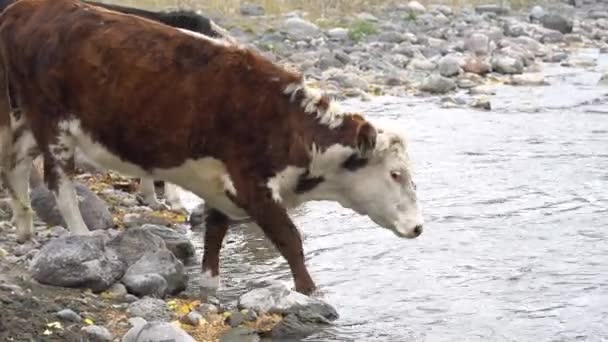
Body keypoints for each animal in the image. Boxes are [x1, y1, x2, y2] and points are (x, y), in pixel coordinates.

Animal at [0, 0, 426, 294]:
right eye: (395, 173)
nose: (418, 227)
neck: (284, 123)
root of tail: (26, 9)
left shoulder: (221, 182)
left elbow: (215, 233)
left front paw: (209, 283)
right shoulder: (252, 183)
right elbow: (290, 240)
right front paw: (311, 292)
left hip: (24, 119)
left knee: (15, 164)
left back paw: (23, 228)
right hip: (52, 124)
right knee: (59, 182)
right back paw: (81, 236)